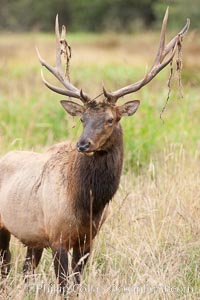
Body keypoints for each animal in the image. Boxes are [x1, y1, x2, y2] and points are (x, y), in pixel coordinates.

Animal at [0, 8, 189, 294]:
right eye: (82, 119)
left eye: (111, 119)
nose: (83, 144)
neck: (88, 204)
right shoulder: (57, 236)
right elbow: (64, 286)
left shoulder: (87, 240)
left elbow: (76, 285)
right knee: (6, 267)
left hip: (32, 238)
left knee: (24, 271)